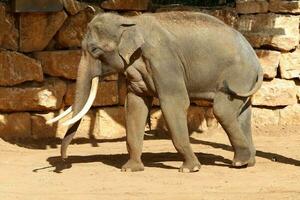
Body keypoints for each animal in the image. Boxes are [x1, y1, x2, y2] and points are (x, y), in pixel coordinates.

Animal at [47, 11, 262, 173]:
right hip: (245, 80)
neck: (130, 21)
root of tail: (256, 59)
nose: (64, 160)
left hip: (237, 76)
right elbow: (135, 105)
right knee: (242, 113)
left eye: (95, 50)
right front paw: (130, 168)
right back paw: (249, 162)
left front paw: (189, 169)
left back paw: (239, 162)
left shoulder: (164, 60)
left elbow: (174, 102)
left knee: (223, 110)